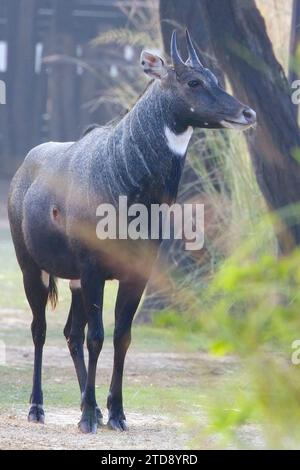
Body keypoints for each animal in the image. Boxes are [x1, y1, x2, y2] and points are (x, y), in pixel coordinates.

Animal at [7, 30, 255, 434]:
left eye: (216, 77)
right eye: (193, 81)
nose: (247, 113)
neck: (125, 176)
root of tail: (23, 170)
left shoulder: (136, 273)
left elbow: (122, 336)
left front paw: (115, 413)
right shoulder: (94, 269)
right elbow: (97, 336)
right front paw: (89, 417)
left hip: (74, 281)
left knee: (70, 332)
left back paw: (85, 405)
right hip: (33, 269)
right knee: (41, 329)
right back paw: (38, 407)